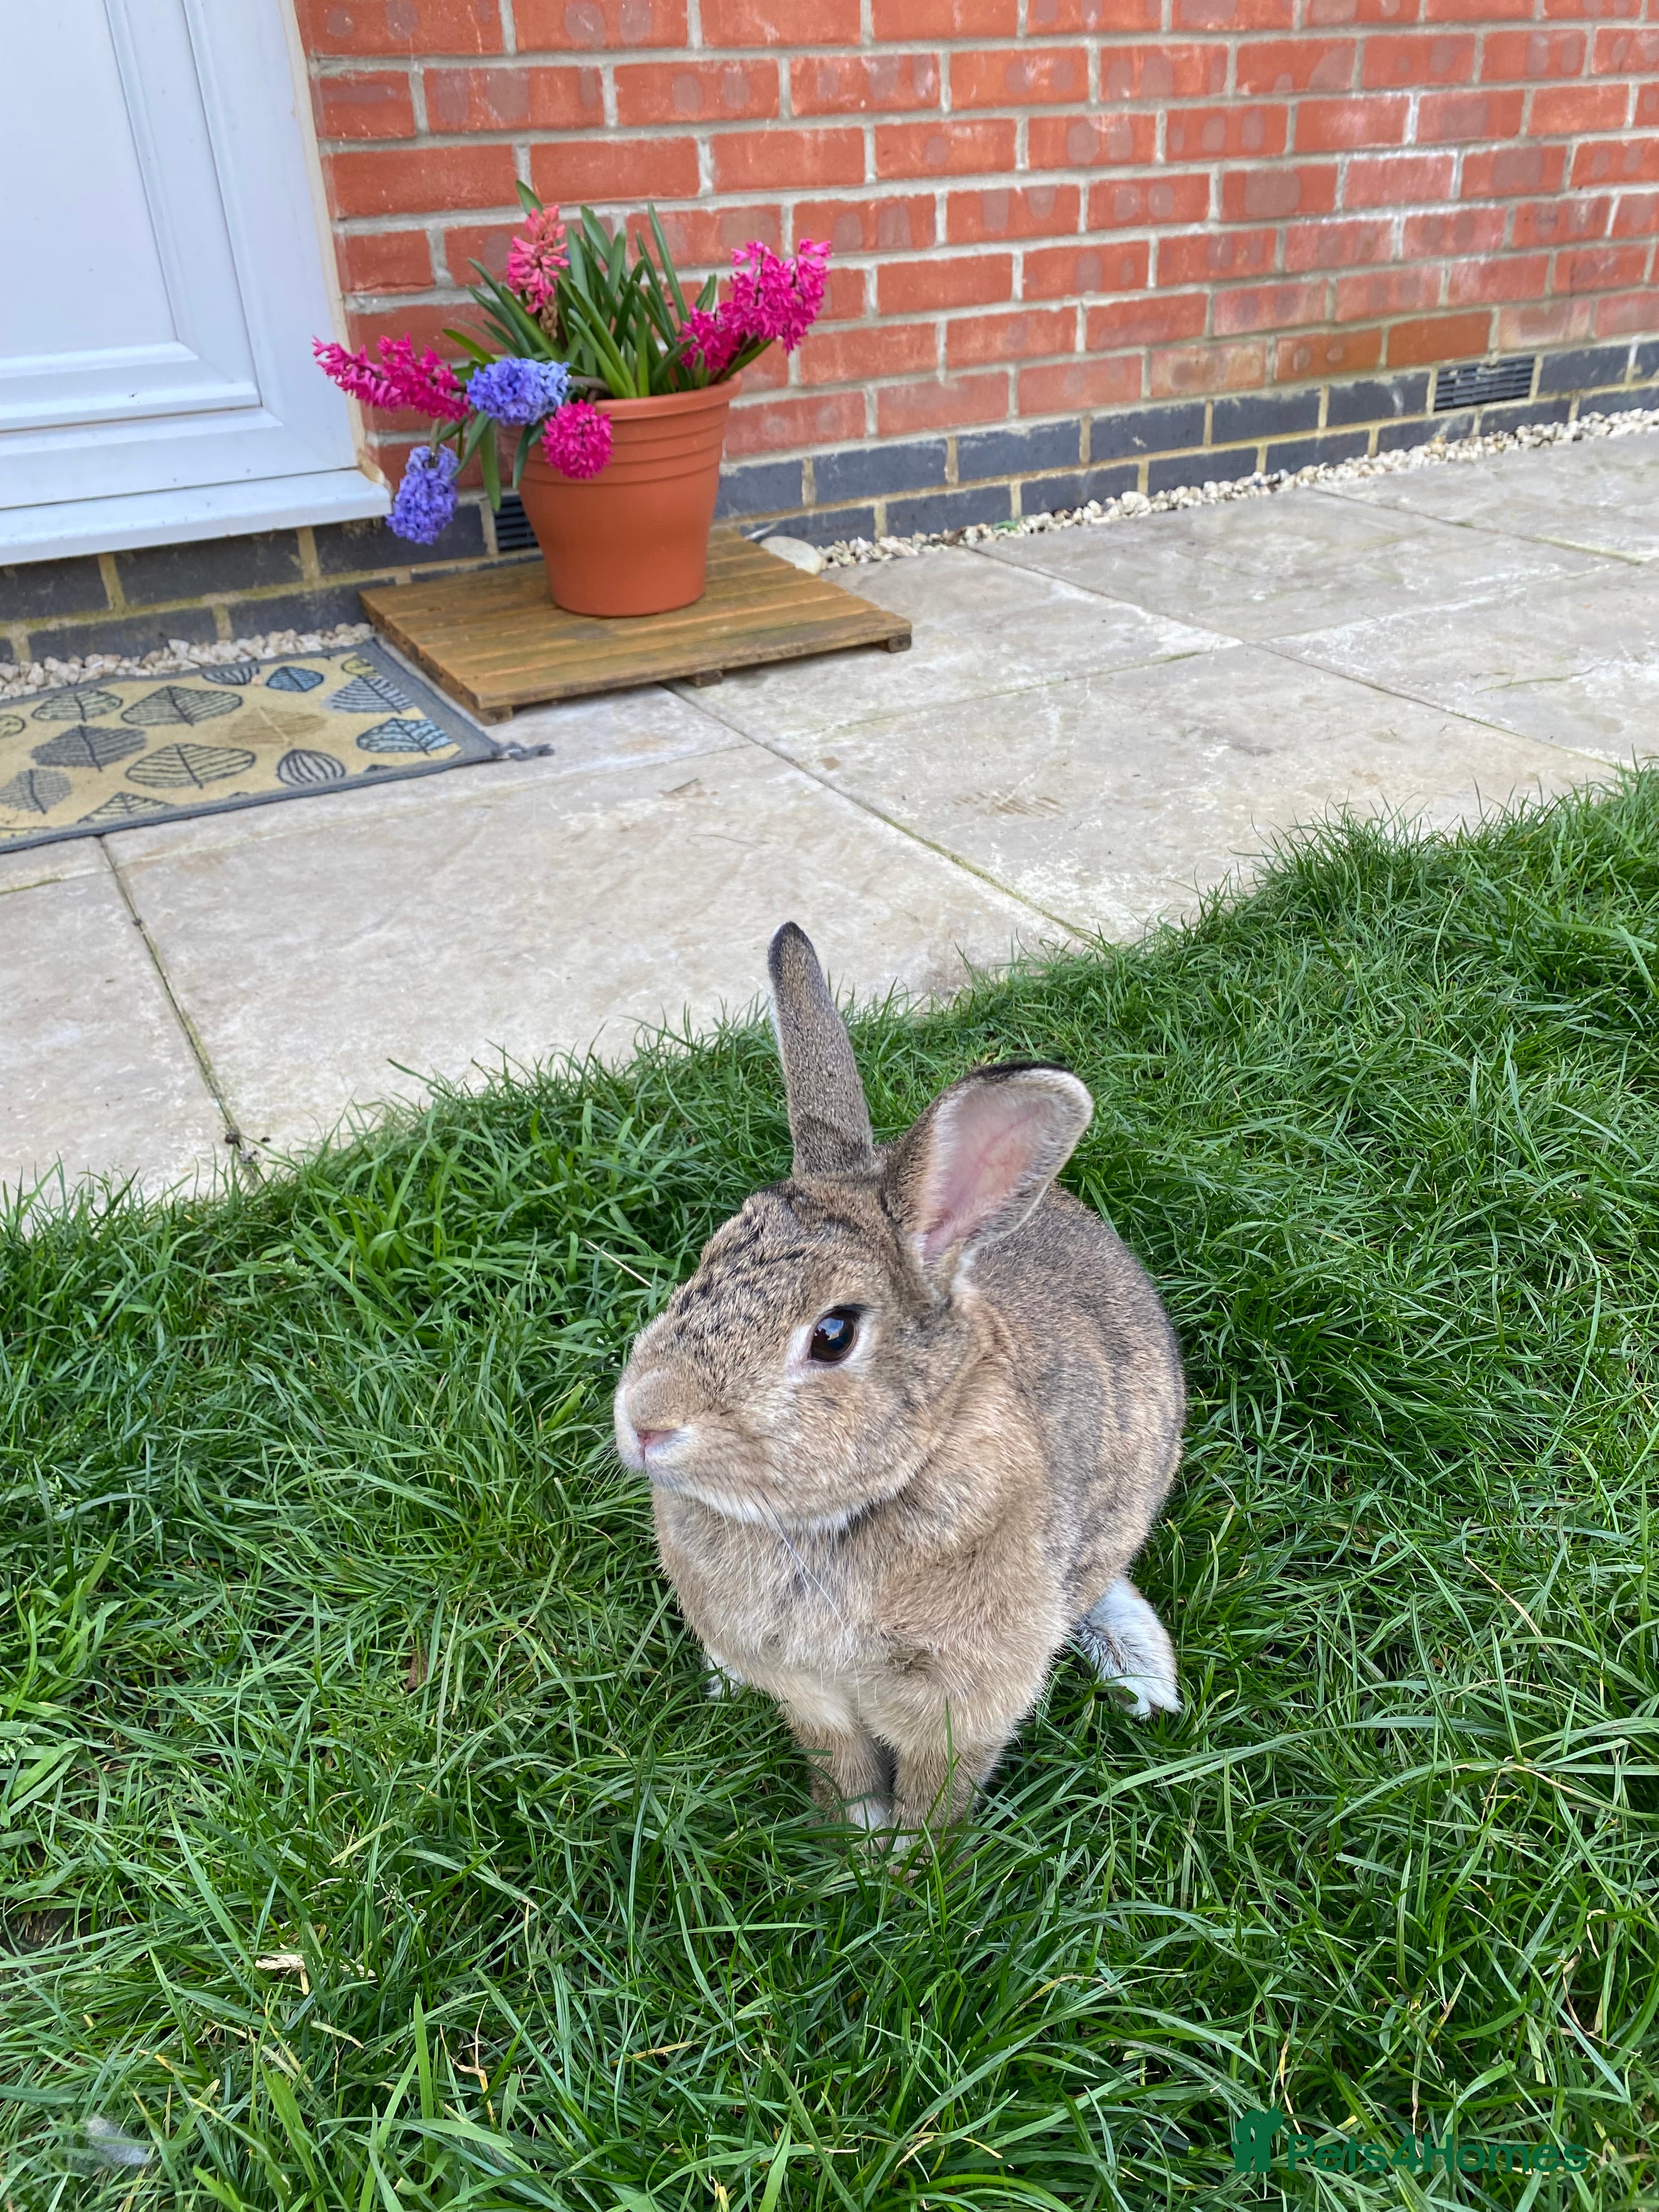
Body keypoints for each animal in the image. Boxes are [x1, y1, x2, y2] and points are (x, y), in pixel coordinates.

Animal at [613, 923, 1185, 1844]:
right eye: (704, 1263)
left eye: (833, 1335)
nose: (644, 1421)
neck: (839, 1517)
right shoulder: (811, 1696)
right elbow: (840, 1766)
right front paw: (855, 1837)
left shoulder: (961, 1703)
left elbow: (937, 1791)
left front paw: (907, 1862)